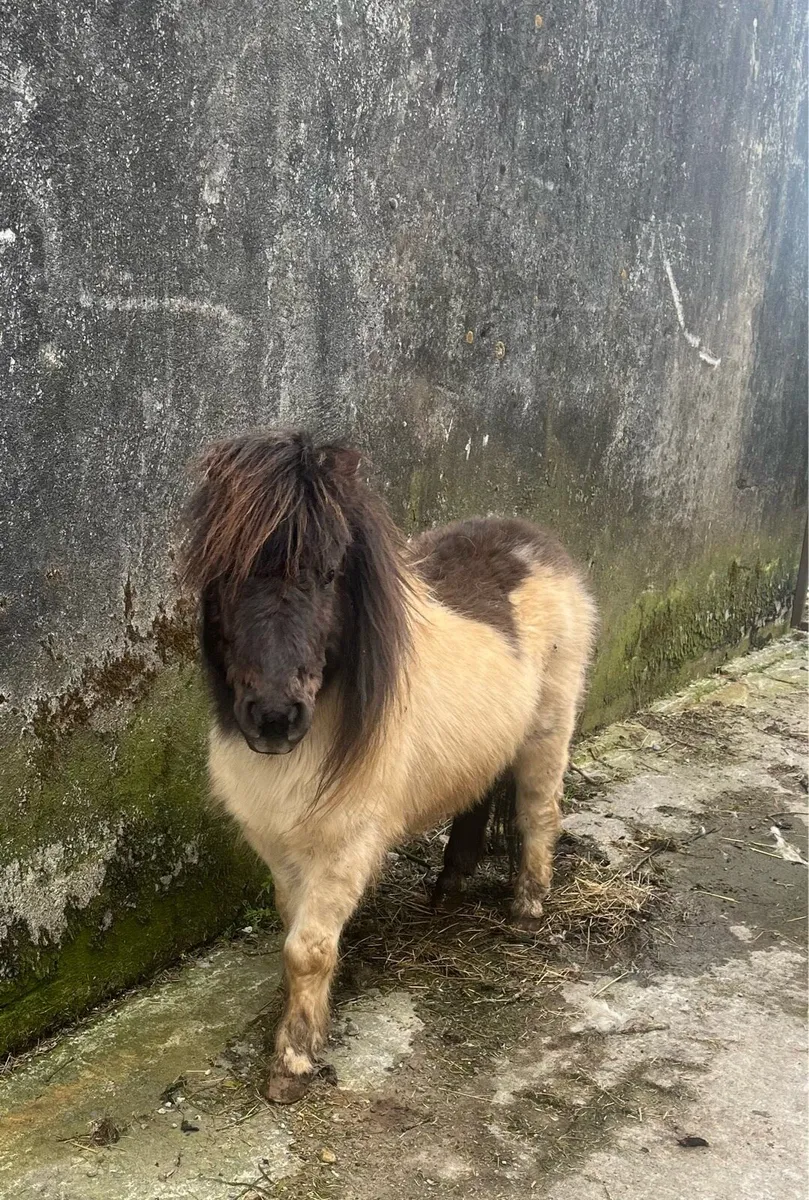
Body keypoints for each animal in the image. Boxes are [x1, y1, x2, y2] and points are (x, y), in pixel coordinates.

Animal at [183, 429, 596, 1103]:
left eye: (329, 574)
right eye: (227, 572)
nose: (273, 717)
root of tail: (534, 539)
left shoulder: (346, 846)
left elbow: (308, 948)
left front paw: (292, 1063)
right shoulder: (281, 847)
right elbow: (292, 928)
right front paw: (310, 1025)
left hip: (547, 731)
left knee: (539, 813)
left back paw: (526, 908)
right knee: (477, 799)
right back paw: (448, 888)